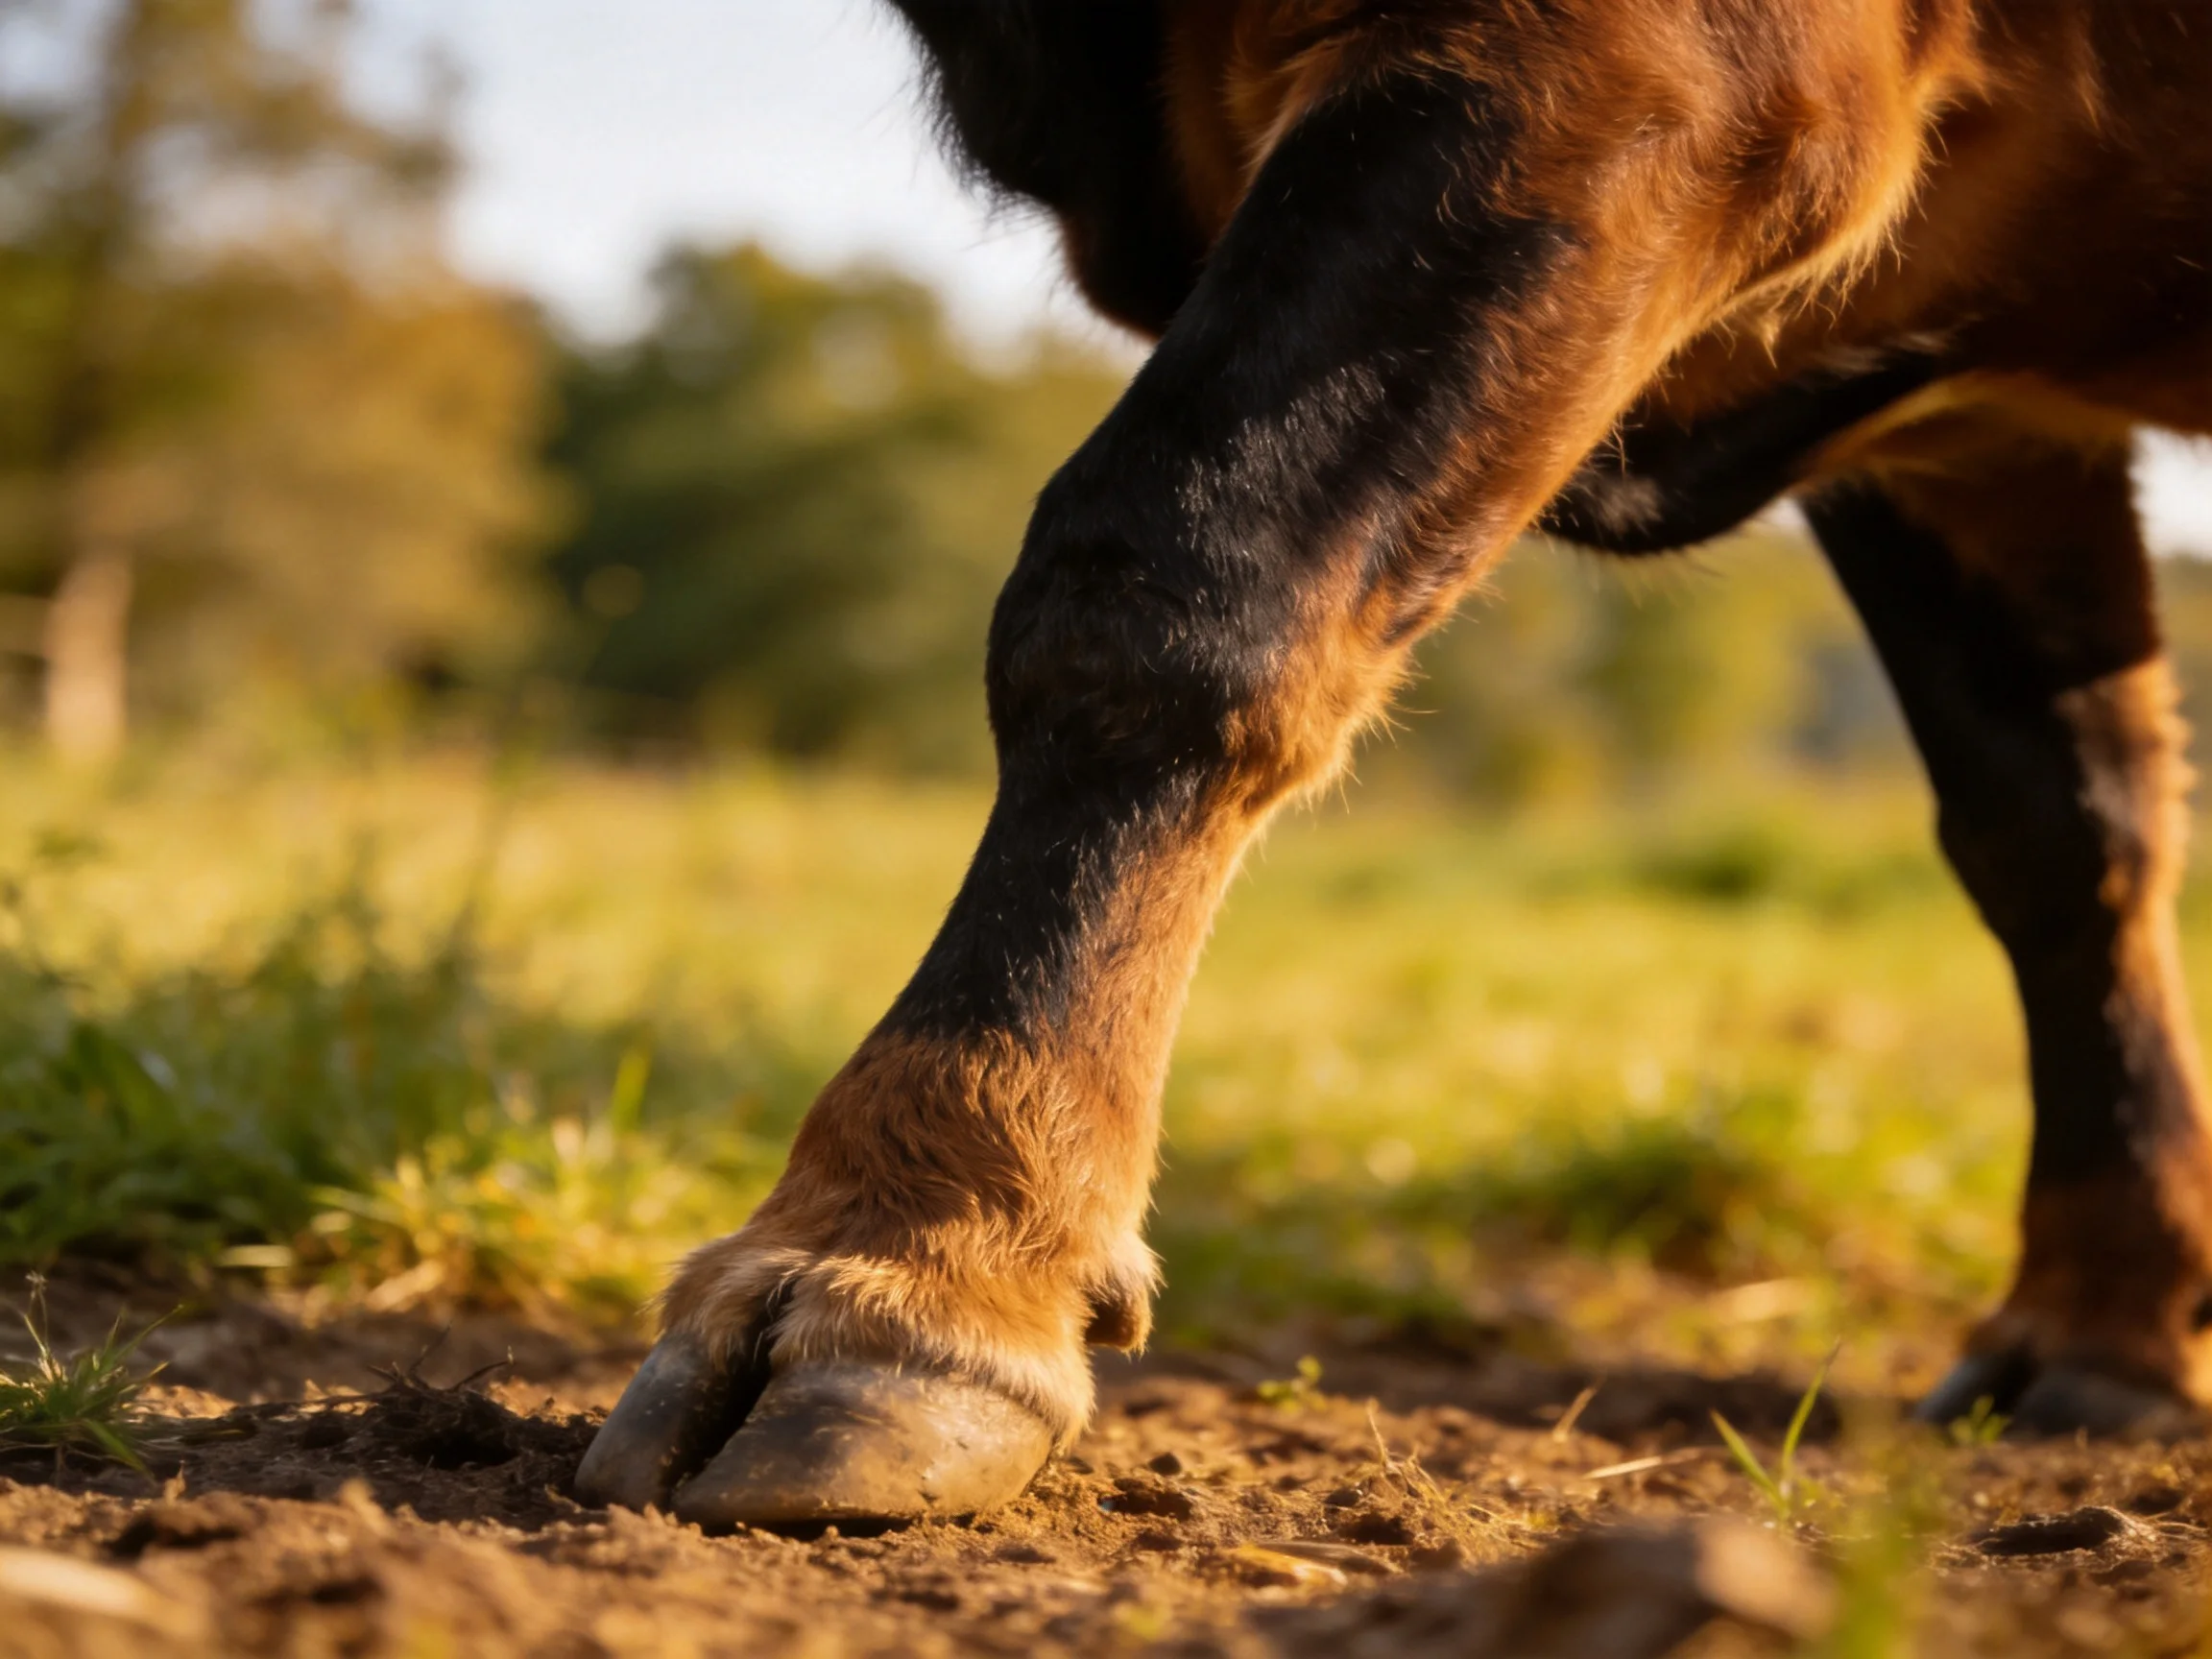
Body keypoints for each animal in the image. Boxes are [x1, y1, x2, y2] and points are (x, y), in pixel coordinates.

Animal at [576, 0, 2212, 1527]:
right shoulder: (1974, 429)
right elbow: (2060, 825)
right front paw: (2109, 1324)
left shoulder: (1636, 74)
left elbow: (1178, 564)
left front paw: (920, 1258)